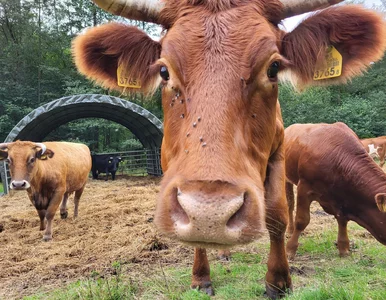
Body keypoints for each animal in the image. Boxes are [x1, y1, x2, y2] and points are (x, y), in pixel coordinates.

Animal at [284, 123, 386, 260]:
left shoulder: (341, 199)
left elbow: (342, 220)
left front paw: (344, 248)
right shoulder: (304, 187)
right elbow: (301, 220)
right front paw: (290, 249)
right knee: (290, 204)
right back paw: (290, 230)